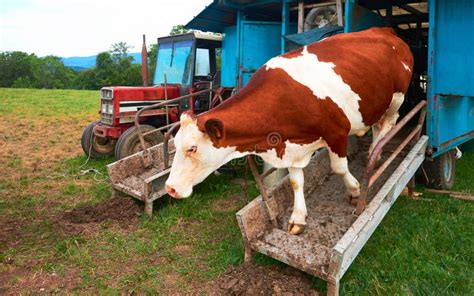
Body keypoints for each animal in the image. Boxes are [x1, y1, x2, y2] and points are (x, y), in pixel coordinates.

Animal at [165, 28, 412, 236]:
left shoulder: (337, 133)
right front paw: (298, 218)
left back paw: (375, 155)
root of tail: (384, 30)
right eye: (175, 145)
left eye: (192, 148)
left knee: (388, 124)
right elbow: (296, 182)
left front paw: (354, 191)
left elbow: (339, 168)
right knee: (377, 126)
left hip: (396, 98)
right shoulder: (292, 146)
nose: (170, 188)